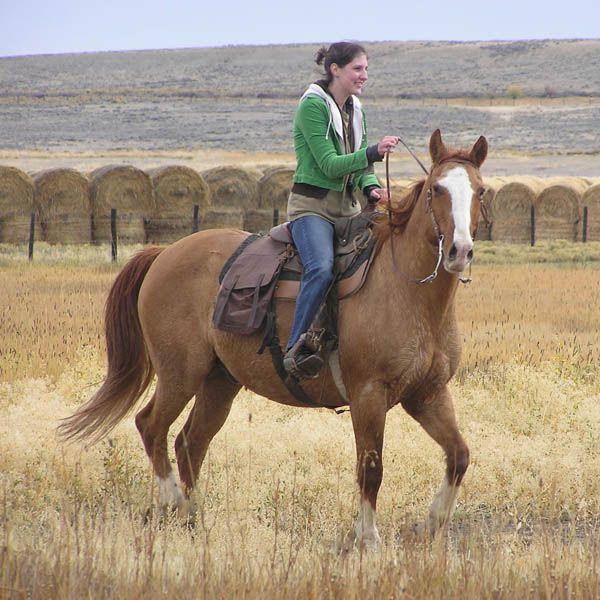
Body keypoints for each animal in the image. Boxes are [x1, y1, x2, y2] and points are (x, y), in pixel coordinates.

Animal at [59, 130, 488, 548]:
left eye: (480, 190)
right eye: (437, 188)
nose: (459, 251)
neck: (405, 288)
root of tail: (164, 253)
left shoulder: (427, 393)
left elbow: (459, 455)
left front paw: (429, 525)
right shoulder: (368, 394)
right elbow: (371, 469)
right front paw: (368, 539)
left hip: (219, 382)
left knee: (190, 443)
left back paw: (195, 520)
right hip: (180, 374)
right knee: (151, 427)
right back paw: (176, 503)